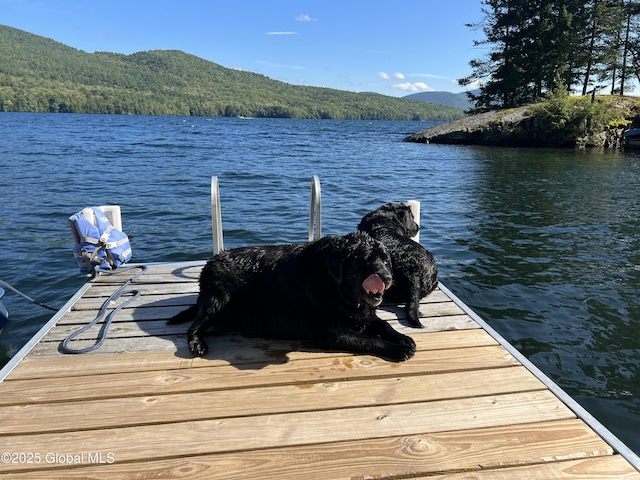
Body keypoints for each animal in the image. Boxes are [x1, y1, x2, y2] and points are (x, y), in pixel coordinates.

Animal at [170, 231, 418, 362]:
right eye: (365, 261)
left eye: (386, 260)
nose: (387, 277)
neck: (333, 285)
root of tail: (210, 262)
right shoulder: (330, 332)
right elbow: (368, 339)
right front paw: (397, 349)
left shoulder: (363, 313)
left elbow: (383, 324)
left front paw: (402, 338)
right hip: (218, 299)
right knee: (195, 325)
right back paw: (197, 344)